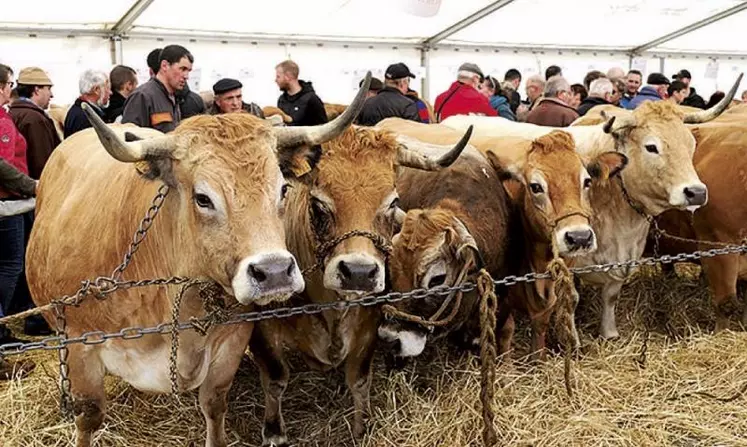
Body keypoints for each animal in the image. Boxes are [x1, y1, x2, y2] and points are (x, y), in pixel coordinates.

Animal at [25, 73, 374, 447]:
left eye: (283, 189)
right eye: (203, 198)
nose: (275, 272)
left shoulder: (232, 341)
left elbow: (214, 402)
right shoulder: (81, 346)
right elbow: (89, 416)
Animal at [251, 114, 474, 444]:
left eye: (393, 203)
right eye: (318, 204)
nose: (358, 272)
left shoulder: (368, 326)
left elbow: (359, 379)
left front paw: (362, 428)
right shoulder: (262, 329)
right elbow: (276, 379)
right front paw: (275, 433)